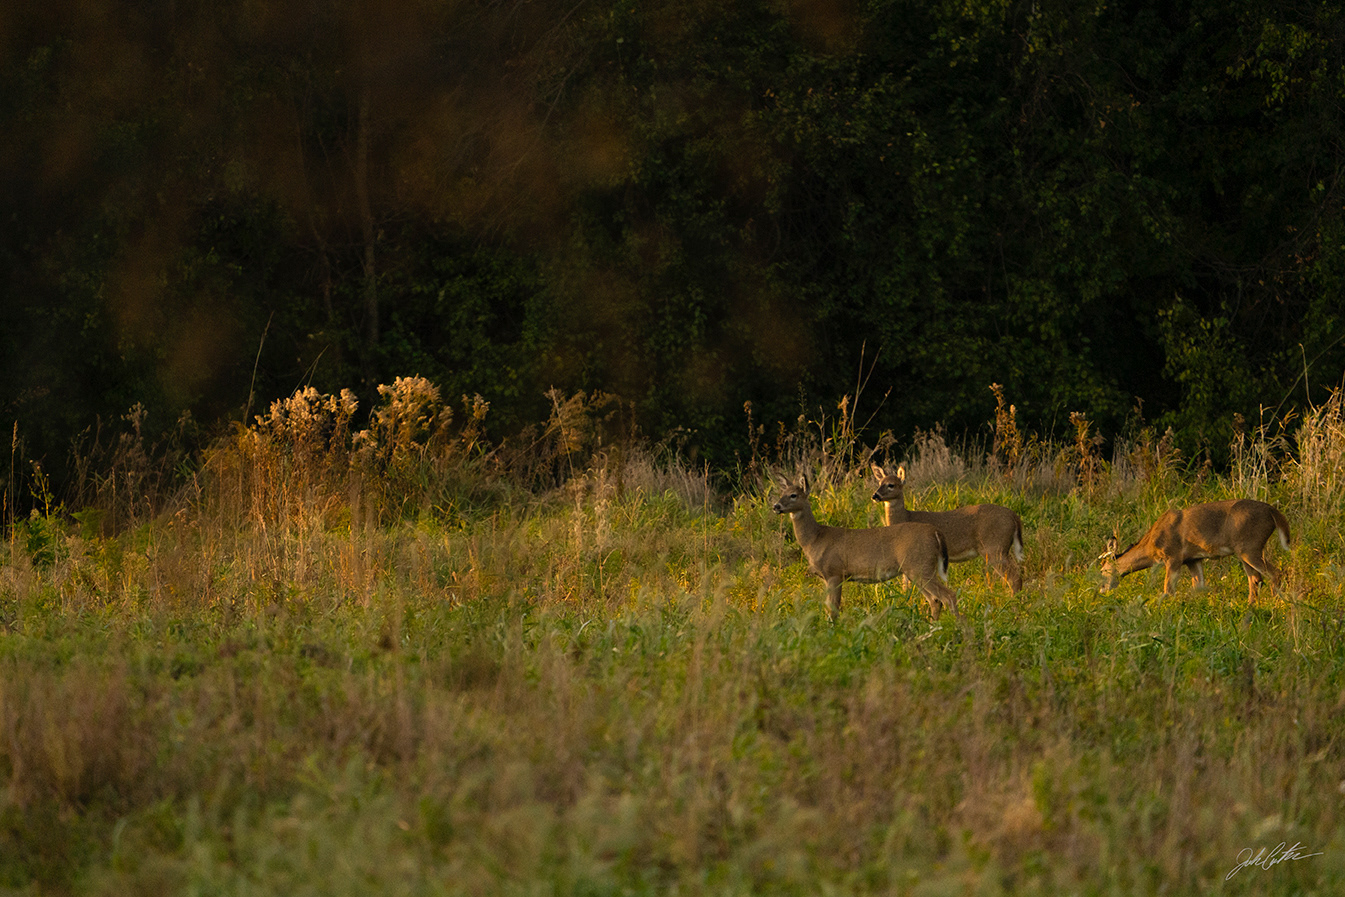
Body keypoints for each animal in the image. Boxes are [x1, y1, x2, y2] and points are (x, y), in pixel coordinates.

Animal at [771, 473, 959, 622]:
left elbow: (833, 611)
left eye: (793, 495)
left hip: (919, 565)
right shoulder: (827, 577)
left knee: (948, 596)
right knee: (935, 600)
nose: (776, 506)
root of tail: (936, 532)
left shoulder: (834, 572)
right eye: (782, 493)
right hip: (917, 569)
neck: (815, 539)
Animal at [870, 464, 1025, 593]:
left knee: (1014, 577)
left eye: (891, 485)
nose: (875, 495)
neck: (906, 517)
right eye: (879, 483)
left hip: (995, 547)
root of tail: (1014, 516)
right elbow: (905, 585)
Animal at [1099, 500, 1291, 603]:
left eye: (1102, 570)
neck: (1151, 545)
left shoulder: (1173, 556)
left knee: (1275, 573)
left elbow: (1168, 590)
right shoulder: (1192, 559)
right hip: (1245, 551)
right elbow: (1198, 587)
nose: (1101, 589)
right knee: (1255, 579)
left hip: (1250, 547)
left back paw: (1275, 603)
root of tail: (1273, 511)